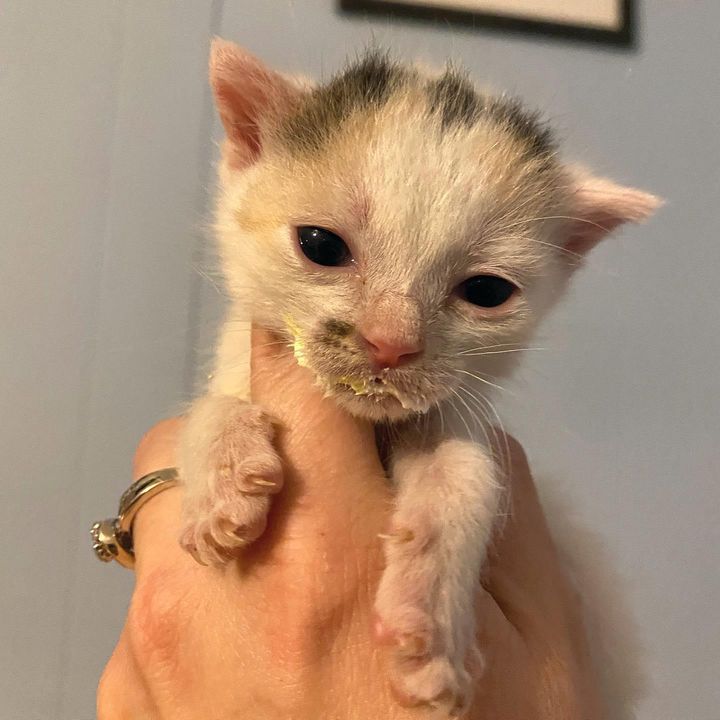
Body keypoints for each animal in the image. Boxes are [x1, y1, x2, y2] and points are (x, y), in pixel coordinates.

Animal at [179, 39, 660, 716]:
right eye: (321, 245)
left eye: (487, 292)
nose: (392, 343)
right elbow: (208, 408)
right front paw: (221, 477)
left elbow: (466, 473)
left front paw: (433, 626)